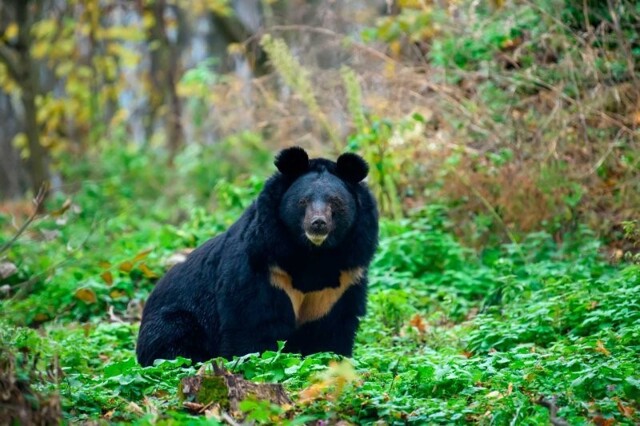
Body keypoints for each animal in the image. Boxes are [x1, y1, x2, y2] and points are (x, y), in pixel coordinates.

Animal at [138, 146, 378, 366]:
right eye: (303, 201)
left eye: (335, 202)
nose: (318, 223)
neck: (313, 253)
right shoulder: (264, 268)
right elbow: (254, 323)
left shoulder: (341, 283)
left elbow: (331, 330)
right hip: (176, 320)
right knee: (173, 345)